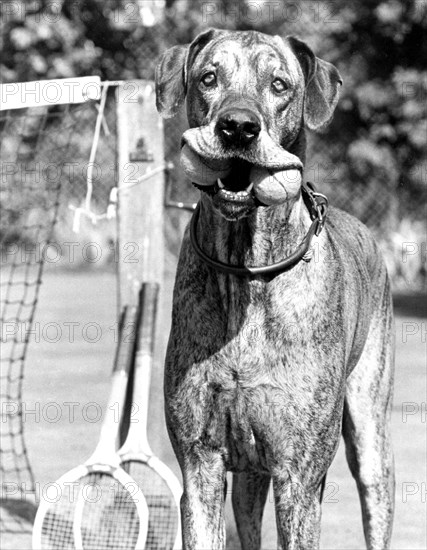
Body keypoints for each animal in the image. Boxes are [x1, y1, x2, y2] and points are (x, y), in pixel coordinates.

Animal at [155, 28, 396, 548]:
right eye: (209, 78)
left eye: (279, 84)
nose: (238, 127)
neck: (246, 271)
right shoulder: (200, 465)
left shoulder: (299, 476)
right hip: (248, 476)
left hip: (371, 434)